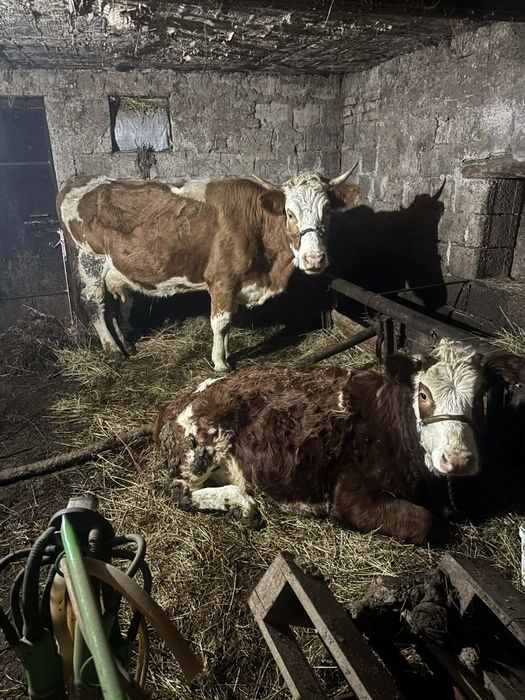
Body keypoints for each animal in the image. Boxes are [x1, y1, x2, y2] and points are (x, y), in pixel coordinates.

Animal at [56, 169, 358, 372]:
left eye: (327, 210)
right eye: (290, 213)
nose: (314, 259)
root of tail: (80, 179)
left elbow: (228, 323)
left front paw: (225, 354)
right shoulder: (222, 280)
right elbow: (221, 323)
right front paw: (220, 363)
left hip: (116, 272)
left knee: (120, 305)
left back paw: (127, 346)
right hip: (90, 262)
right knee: (95, 306)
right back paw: (112, 351)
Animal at [155, 340, 524, 545]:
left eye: (481, 396)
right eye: (423, 395)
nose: (457, 459)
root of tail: (177, 400)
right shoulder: (349, 497)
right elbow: (426, 522)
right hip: (200, 445)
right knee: (179, 492)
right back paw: (243, 505)